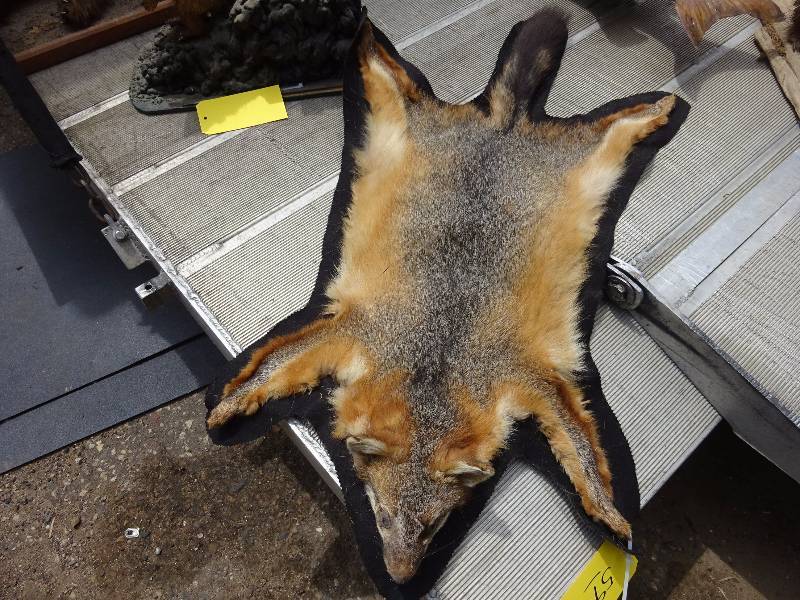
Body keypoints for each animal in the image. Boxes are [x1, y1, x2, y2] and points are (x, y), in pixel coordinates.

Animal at [207, 8, 681, 584]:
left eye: (436, 526)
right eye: (381, 516)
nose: (400, 577)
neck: (435, 368)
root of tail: (503, 123)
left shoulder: (533, 379)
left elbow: (586, 458)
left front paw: (608, 513)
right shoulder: (351, 333)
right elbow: (268, 370)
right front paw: (228, 406)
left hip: (595, 162)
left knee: (610, 123)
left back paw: (657, 108)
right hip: (402, 115)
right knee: (395, 74)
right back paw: (365, 36)